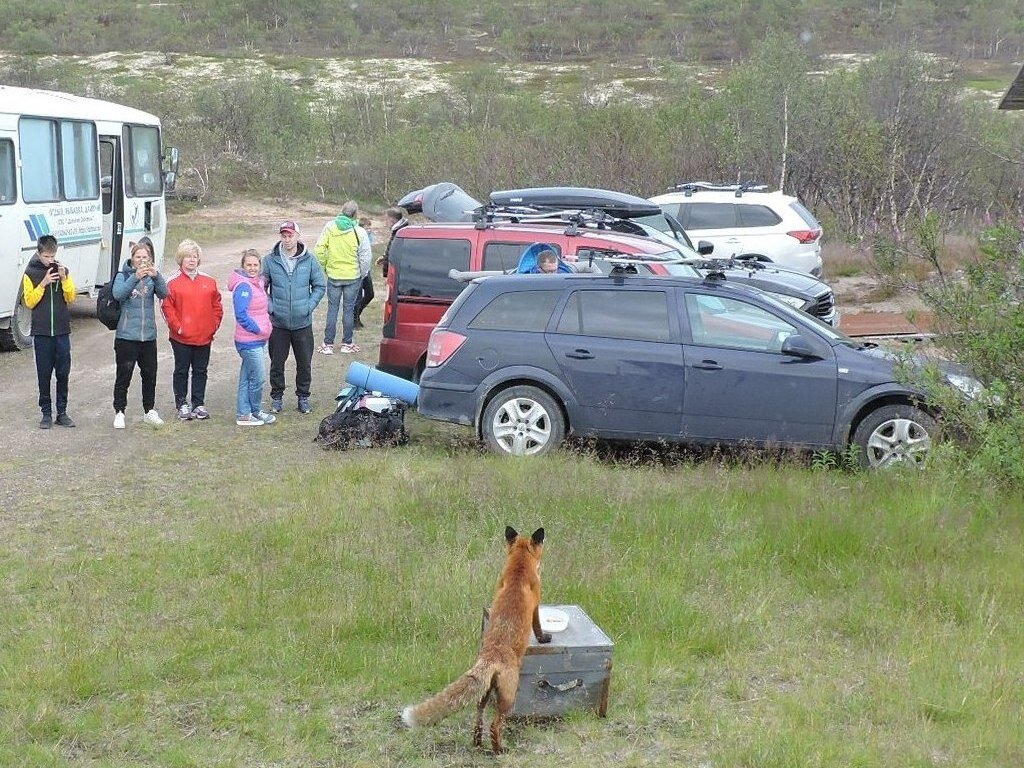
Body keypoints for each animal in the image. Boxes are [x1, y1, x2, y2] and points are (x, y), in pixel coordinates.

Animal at [399, 528, 552, 753]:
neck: (519, 570)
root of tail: (490, 657)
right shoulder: (536, 605)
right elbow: (538, 626)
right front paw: (544, 639)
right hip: (508, 696)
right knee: (494, 725)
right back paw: (499, 750)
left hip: (485, 694)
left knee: (478, 718)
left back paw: (477, 744)